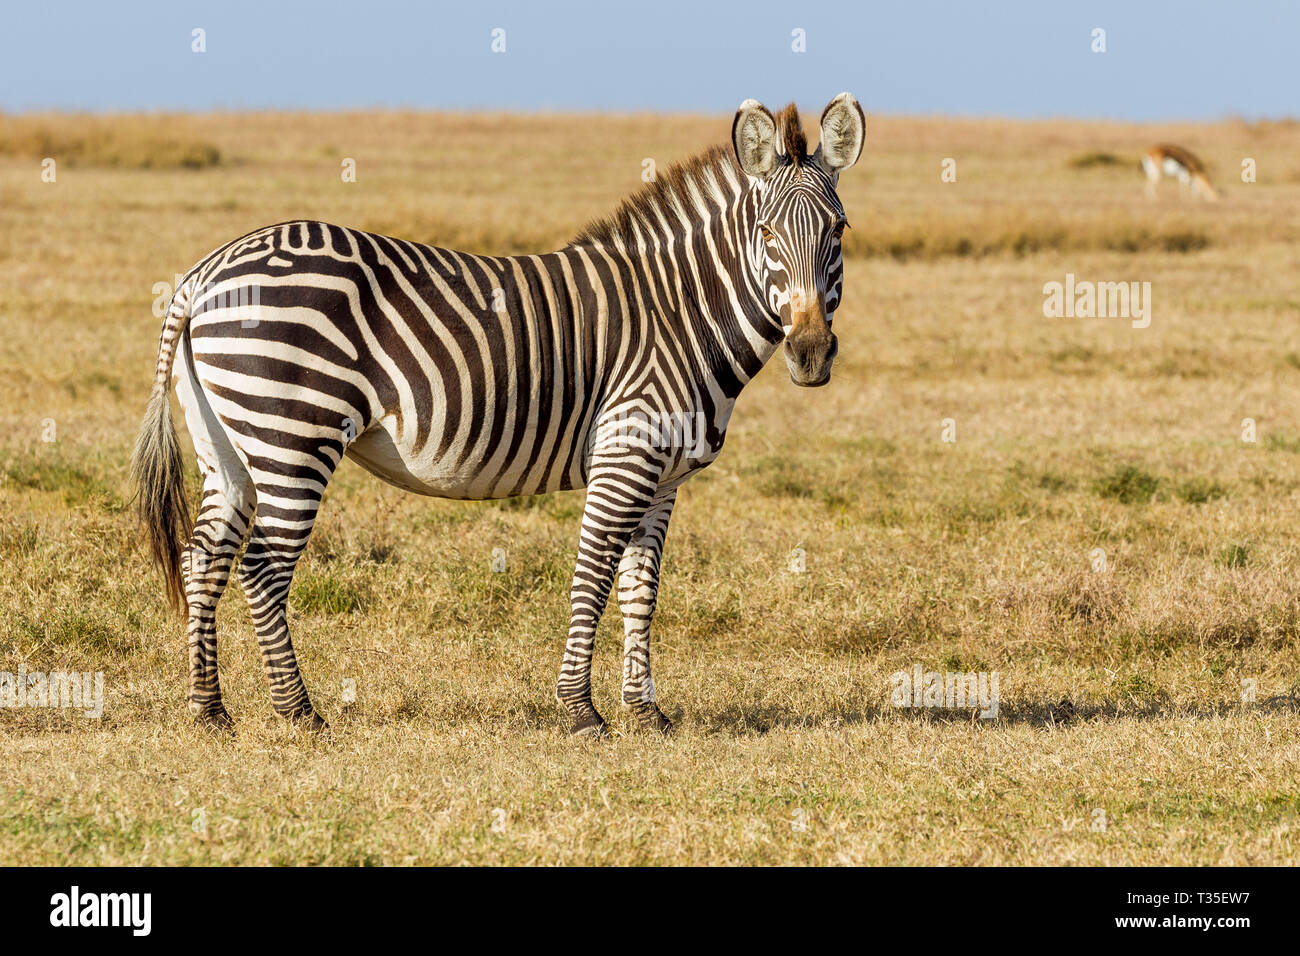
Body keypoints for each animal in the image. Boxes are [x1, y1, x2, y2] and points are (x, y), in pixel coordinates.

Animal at [131, 93, 865, 737]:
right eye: (765, 233)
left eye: (839, 230)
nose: (809, 354)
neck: (679, 312)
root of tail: (204, 273)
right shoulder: (625, 453)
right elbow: (593, 574)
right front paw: (581, 712)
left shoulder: (664, 477)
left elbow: (640, 590)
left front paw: (647, 713)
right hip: (291, 435)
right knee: (261, 567)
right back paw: (300, 713)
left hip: (230, 444)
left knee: (204, 559)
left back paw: (210, 711)